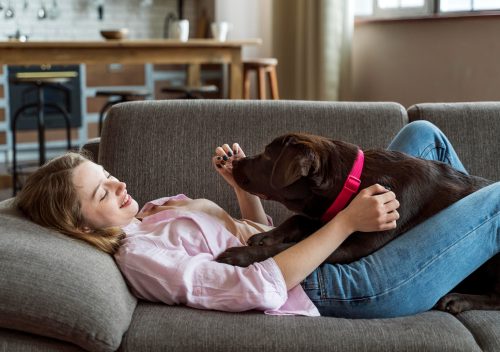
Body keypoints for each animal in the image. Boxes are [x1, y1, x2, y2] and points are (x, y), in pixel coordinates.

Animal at [217, 132, 498, 314]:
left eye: (267, 155)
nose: (235, 161)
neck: (354, 181)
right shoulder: (329, 216)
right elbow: (297, 219)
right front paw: (265, 236)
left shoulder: (349, 248)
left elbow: (285, 247)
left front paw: (240, 254)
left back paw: (459, 300)